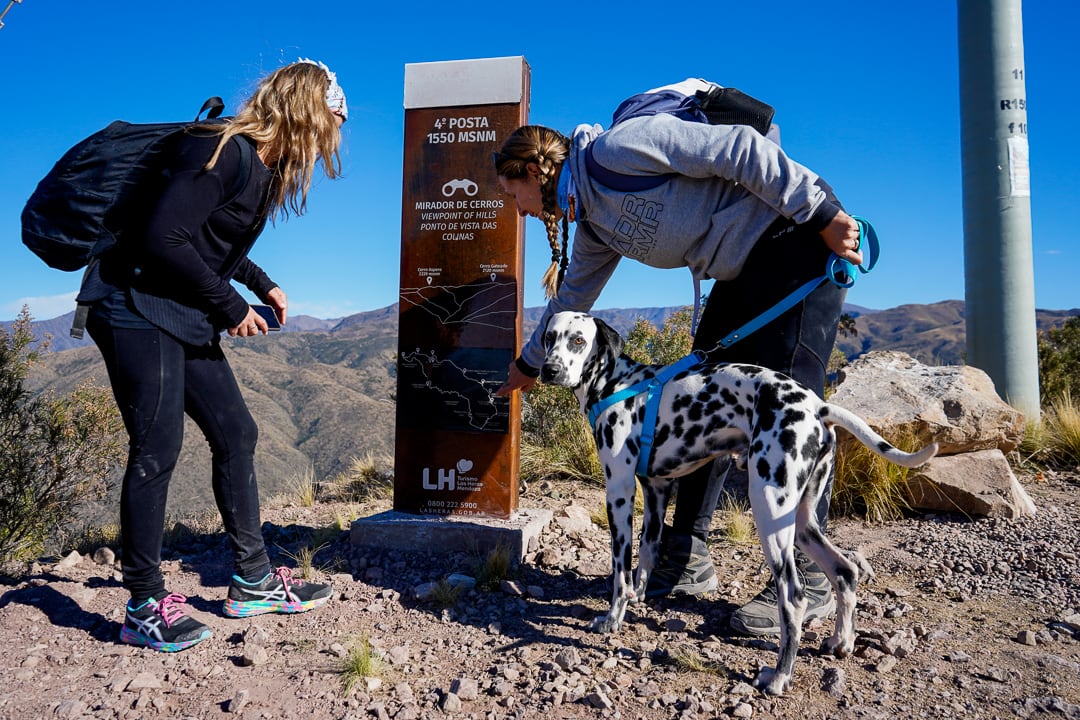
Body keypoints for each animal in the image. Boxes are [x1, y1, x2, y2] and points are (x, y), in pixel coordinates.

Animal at [540, 310, 937, 699]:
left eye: (578, 340)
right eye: (549, 337)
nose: (550, 370)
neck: (619, 384)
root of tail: (817, 406)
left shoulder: (619, 492)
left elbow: (620, 568)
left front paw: (612, 619)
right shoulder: (656, 490)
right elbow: (648, 550)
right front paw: (638, 596)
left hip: (770, 512)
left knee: (794, 597)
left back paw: (779, 677)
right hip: (803, 523)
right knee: (844, 571)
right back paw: (841, 641)